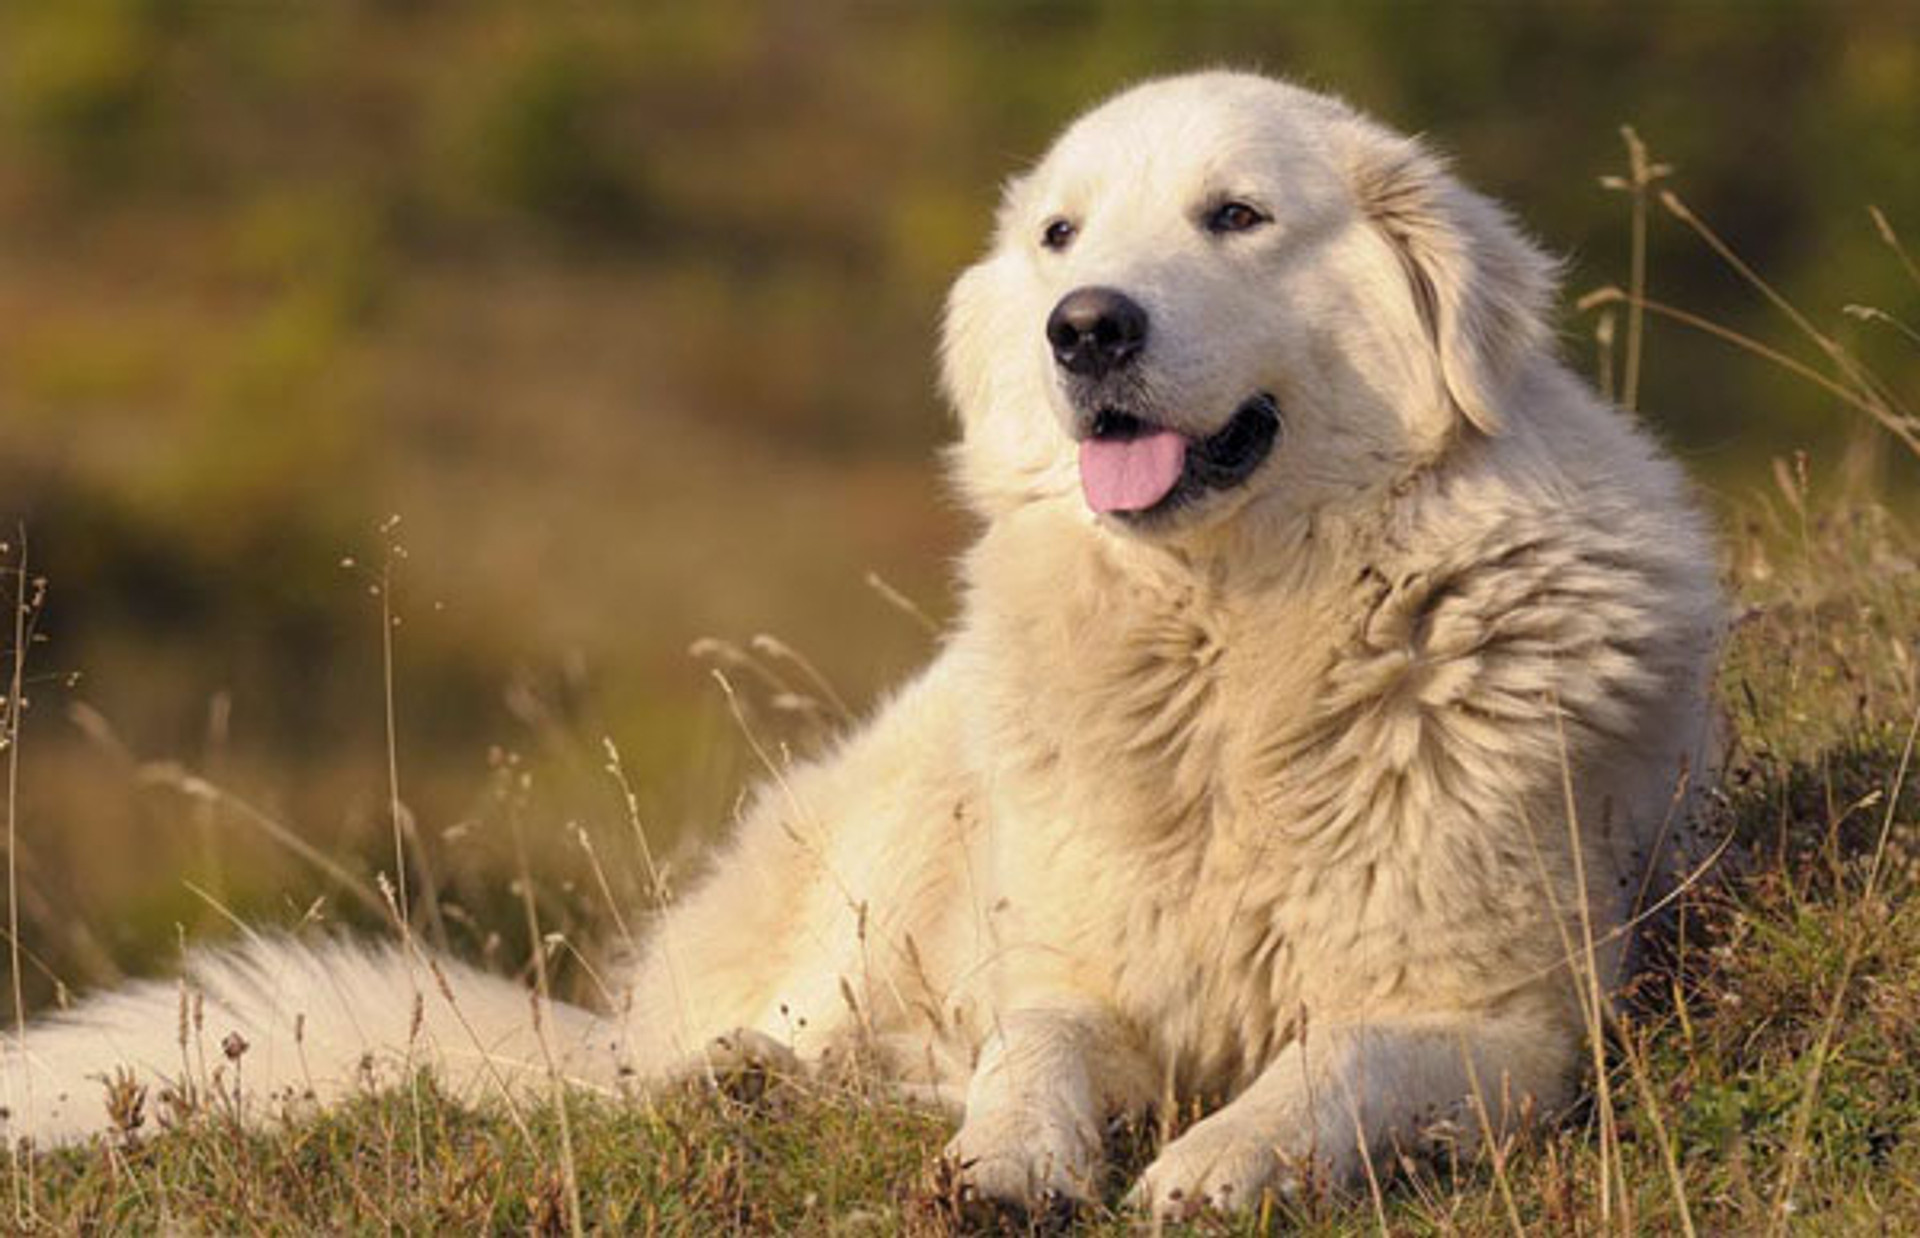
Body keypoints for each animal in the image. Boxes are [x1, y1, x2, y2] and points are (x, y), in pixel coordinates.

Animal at [3, 72, 1728, 1213]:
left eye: (1239, 218)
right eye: (1060, 236)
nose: (1086, 326)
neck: (1227, 648)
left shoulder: (1496, 1021)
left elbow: (1327, 1071)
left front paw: (1209, 1162)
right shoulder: (1072, 967)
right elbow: (1031, 1050)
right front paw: (1012, 1161)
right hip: (902, 830)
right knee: (779, 1045)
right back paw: (763, 1075)